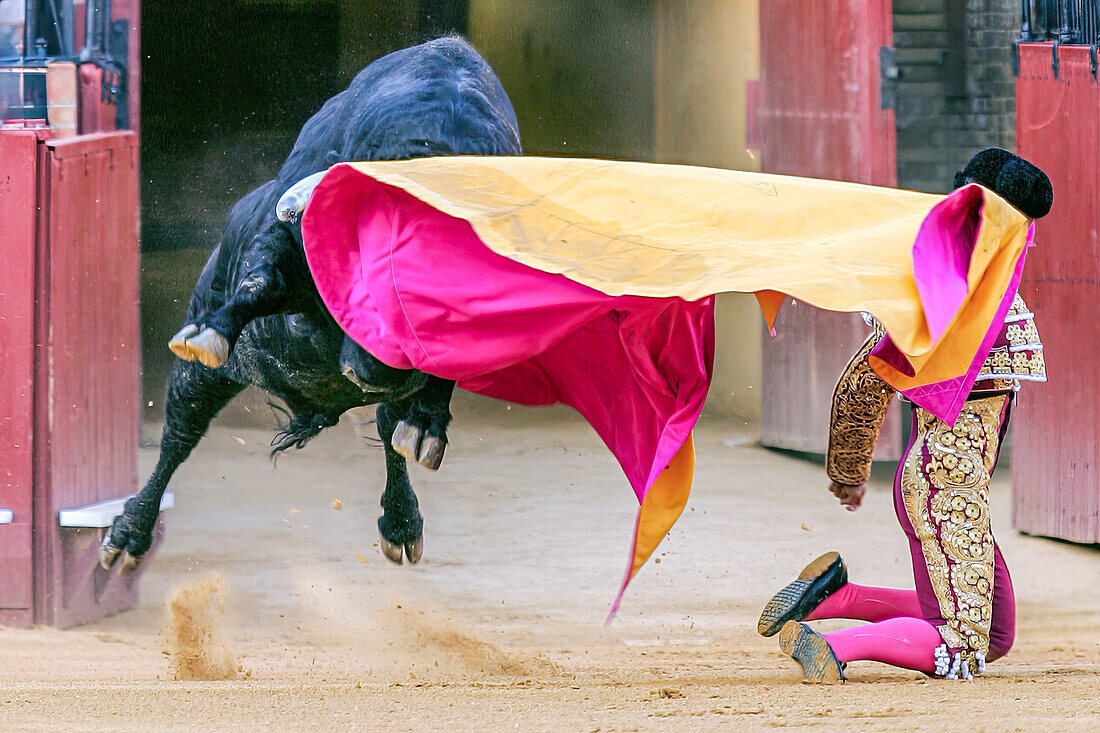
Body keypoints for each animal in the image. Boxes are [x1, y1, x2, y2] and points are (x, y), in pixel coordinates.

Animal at [97, 37, 519, 567]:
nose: (374, 373)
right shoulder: (278, 250)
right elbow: (264, 285)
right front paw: (214, 330)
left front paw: (427, 426)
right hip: (204, 370)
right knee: (180, 432)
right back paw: (128, 534)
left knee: (387, 428)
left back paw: (401, 521)